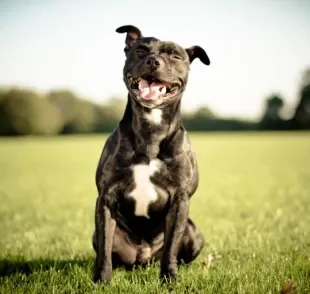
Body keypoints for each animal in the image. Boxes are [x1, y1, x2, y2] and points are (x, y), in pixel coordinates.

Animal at [92, 24, 211, 282]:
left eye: (175, 56)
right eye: (140, 50)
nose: (153, 61)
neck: (151, 130)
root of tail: (143, 257)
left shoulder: (179, 200)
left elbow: (171, 247)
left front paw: (169, 278)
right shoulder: (106, 198)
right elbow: (105, 249)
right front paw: (102, 280)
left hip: (193, 232)